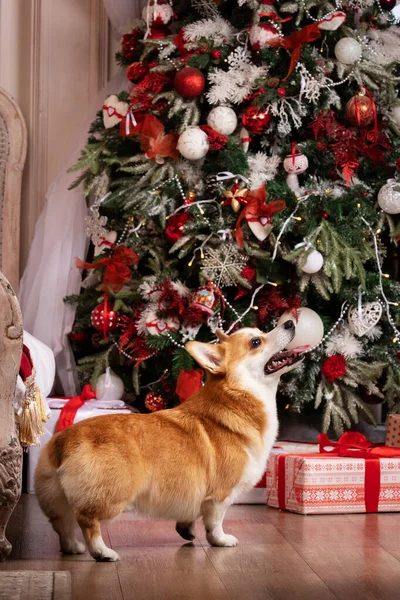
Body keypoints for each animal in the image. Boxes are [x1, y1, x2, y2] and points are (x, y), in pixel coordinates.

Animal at [36, 322, 306, 560]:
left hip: (57, 499)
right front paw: (221, 540)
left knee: (62, 524)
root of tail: (64, 442)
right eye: (255, 342)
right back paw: (103, 553)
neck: (237, 397)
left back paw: (73, 547)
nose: (291, 323)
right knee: (87, 521)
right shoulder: (219, 495)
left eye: (260, 332)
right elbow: (216, 522)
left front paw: (187, 531)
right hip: (112, 496)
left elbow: (190, 517)